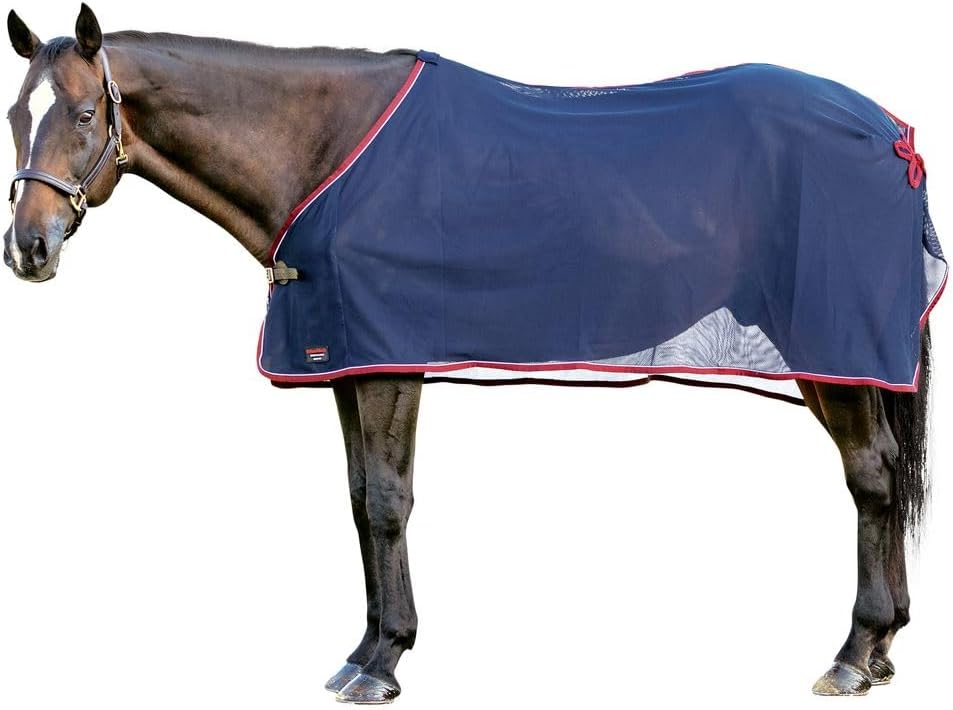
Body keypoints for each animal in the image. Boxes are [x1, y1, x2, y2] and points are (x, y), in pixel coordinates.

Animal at [3, 4, 940, 703]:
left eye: (82, 115)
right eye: (16, 116)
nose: (28, 249)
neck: (324, 150)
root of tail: (892, 132)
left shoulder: (388, 362)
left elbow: (387, 502)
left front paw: (383, 662)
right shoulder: (343, 358)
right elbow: (357, 501)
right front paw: (365, 648)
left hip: (833, 345)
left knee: (868, 474)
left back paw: (852, 653)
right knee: (884, 470)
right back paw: (882, 647)